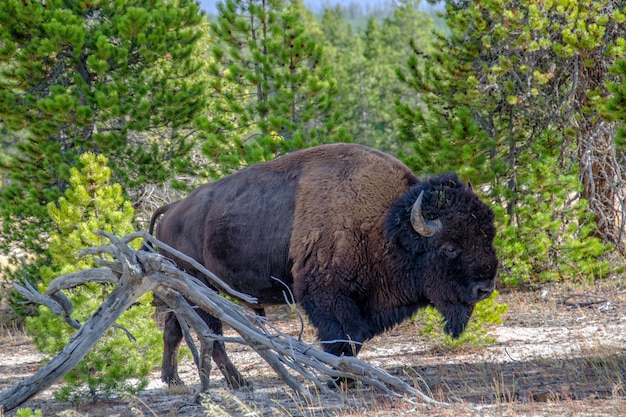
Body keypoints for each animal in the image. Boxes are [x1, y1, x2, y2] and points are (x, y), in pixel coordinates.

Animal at [150, 143, 498, 390]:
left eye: (490, 237)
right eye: (450, 247)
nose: (485, 288)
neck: (386, 226)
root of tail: (173, 209)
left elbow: (352, 341)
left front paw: (346, 378)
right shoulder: (327, 296)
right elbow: (341, 340)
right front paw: (339, 379)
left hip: (180, 288)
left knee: (174, 329)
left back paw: (173, 380)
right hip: (199, 287)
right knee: (211, 334)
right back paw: (238, 382)